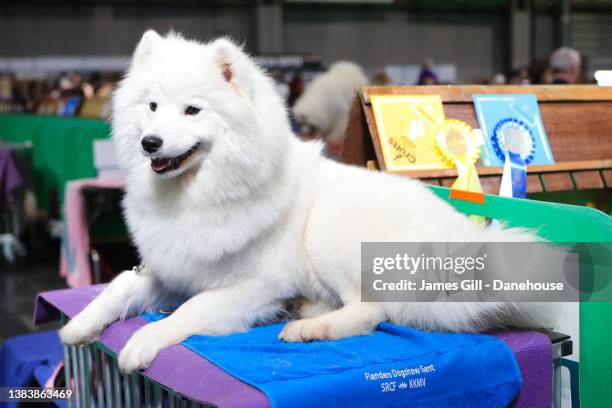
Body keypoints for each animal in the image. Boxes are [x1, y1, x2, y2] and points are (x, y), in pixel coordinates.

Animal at [58, 31, 544, 372]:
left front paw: (141, 343)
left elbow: (190, 310)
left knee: (371, 311)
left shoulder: (252, 285)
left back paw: (309, 327)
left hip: (330, 225)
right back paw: (306, 308)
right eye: (153, 106)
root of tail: (459, 243)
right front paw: (78, 326)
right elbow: (121, 285)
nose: (150, 143)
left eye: (192, 110)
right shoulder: (173, 268)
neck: (197, 193)